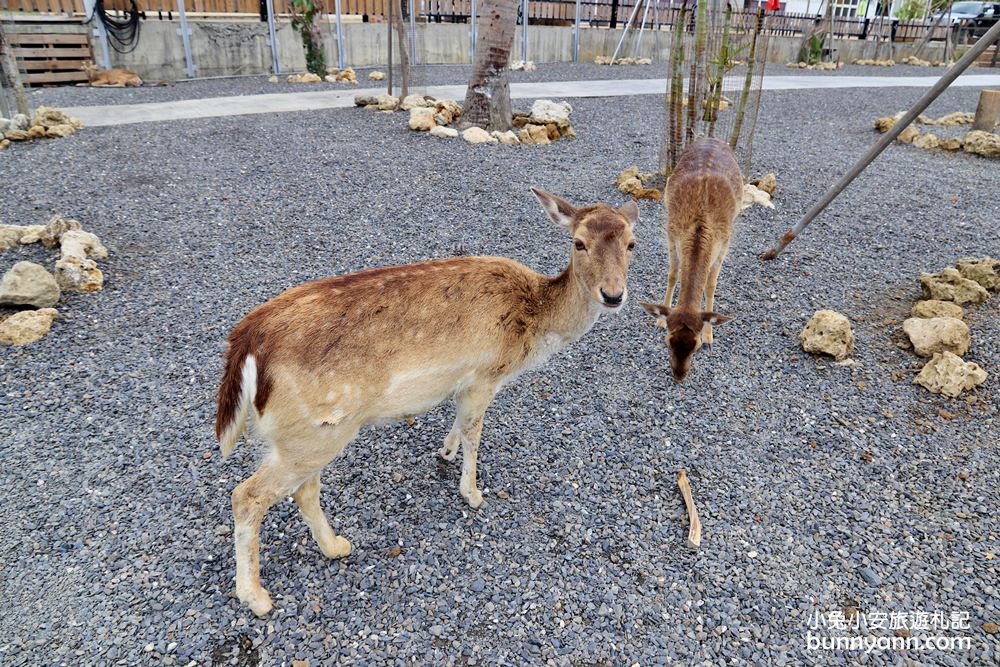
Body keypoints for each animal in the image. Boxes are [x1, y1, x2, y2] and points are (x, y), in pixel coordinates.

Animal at [215, 189, 636, 616]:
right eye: (578, 243)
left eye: (632, 243)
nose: (613, 294)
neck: (533, 329)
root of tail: (246, 342)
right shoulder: (485, 374)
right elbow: (473, 433)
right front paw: (472, 493)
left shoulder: (463, 381)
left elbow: (458, 424)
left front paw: (445, 452)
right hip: (313, 432)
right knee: (247, 496)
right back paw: (256, 597)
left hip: (310, 433)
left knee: (302, 490)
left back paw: (335, 547)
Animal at [640, 138, 744, 384]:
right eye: (667, 341)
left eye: (695, 346)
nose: (679, 376)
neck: (699, 224)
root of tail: (712, 139)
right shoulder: (671, 232)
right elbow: (673, 274)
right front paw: (660, 319)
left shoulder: (725, 243)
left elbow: (710, 284)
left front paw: (710, 335)